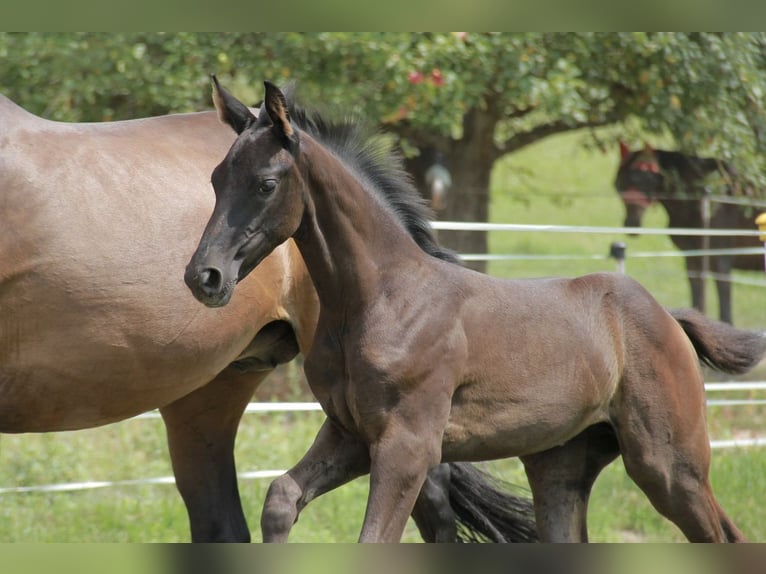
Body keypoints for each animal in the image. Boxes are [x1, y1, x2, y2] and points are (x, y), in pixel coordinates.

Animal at [614, 142, 764, 324]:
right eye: (619, 184)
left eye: (641, 178)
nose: (631, 224)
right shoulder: (693, 259)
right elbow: (697, 295)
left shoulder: (720, 260)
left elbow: (724, 304)